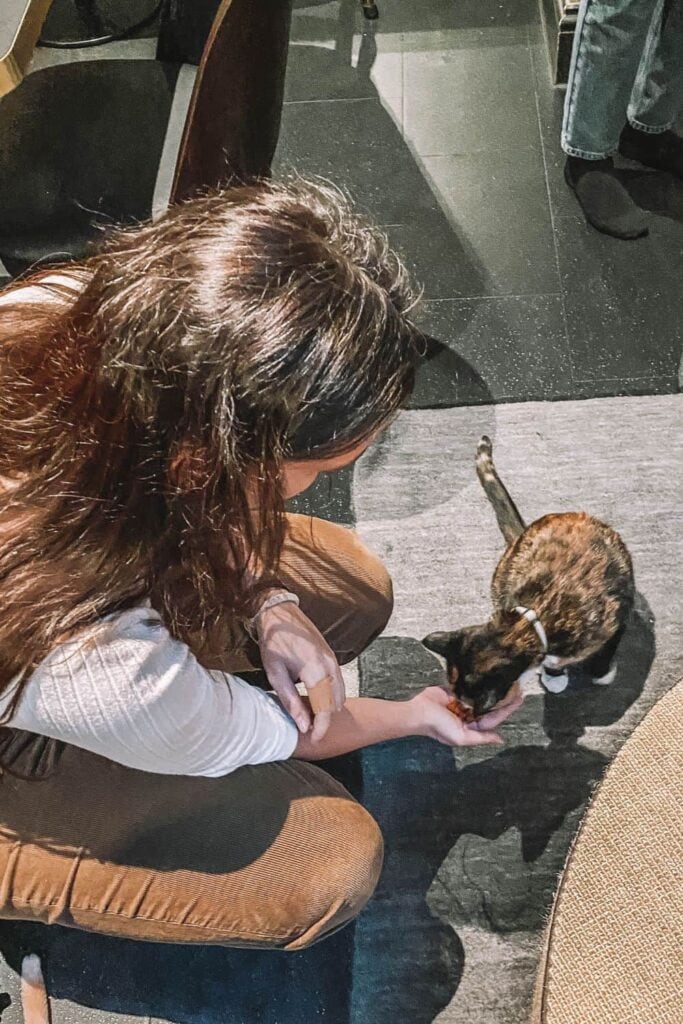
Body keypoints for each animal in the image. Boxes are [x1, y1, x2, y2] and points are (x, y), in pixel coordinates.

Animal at [421, 436, 634, 716]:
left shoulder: (617, 617)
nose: (463, 705)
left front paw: (602, 674)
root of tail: (522, 533)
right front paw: (554, 675)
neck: (533, 617)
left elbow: (607, 650)